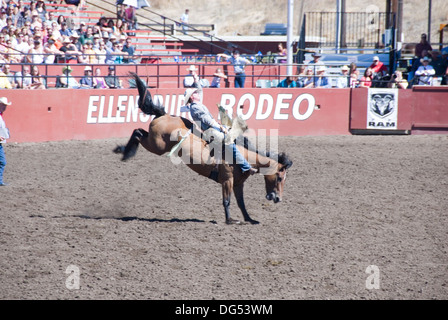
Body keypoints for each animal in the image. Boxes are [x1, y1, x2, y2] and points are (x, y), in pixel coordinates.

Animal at [114, 72, 292, 225]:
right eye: (279, 178)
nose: (278, 199)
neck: (244, 157)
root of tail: (163, 115)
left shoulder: (238, 184)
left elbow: (241, 203)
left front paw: (250, 219)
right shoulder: (227, 180)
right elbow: (227, 200)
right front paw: (230, 220)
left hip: (155, 142)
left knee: (139, 132)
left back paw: (122, 150)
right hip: (157, 146)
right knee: (137, 133)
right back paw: (124, 152)